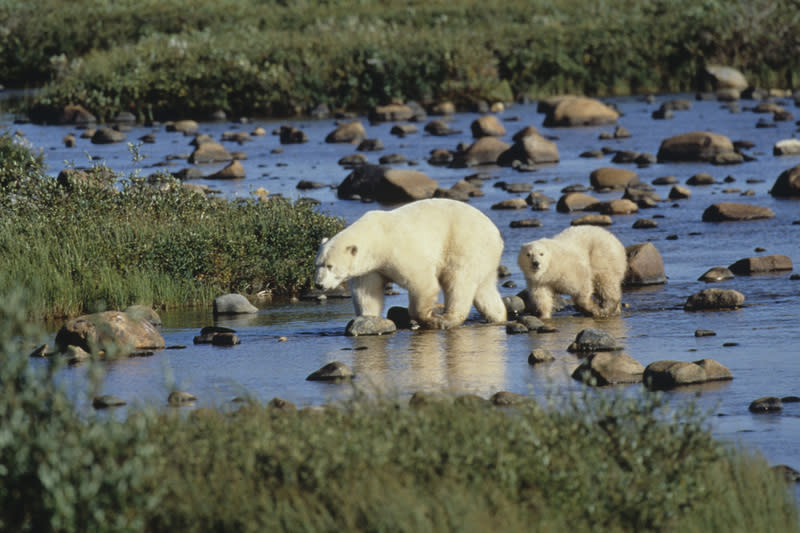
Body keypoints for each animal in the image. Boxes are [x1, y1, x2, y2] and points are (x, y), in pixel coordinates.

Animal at [314, 198, 506, 328]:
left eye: (330, 266)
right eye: (317, 265)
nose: (319, 285)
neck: (377, 238)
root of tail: (496, 234)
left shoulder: (399, 251)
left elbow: (423, 283)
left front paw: (427, 318)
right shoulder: (370, 268)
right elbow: (367, 292)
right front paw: (367, 318)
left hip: (465, 245)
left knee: (458, 282)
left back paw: (448, 318)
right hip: (484, 257)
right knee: (484, 289)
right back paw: (498, 316)